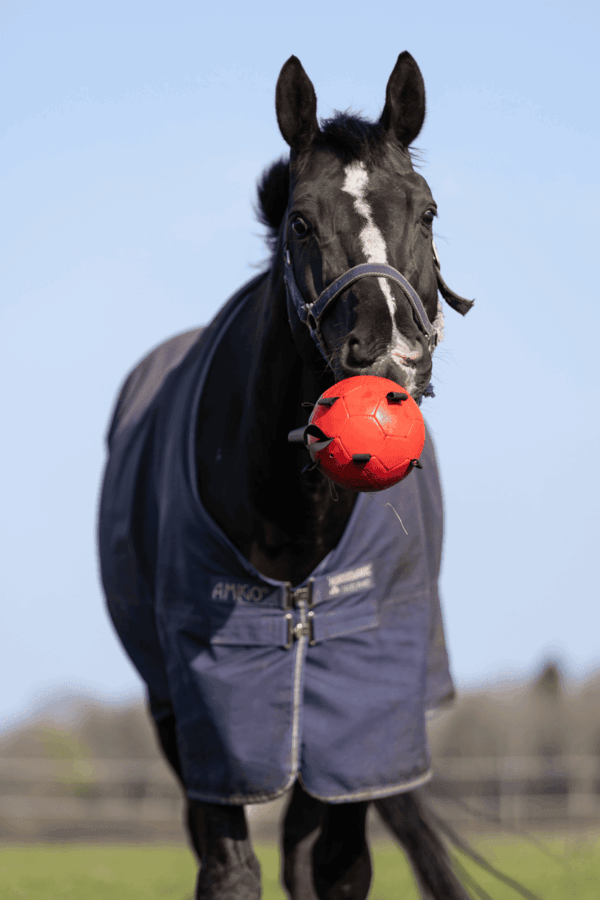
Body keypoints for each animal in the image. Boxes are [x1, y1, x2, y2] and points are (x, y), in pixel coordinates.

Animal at [99, 52, 476, 900]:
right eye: (302, 221)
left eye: (428, 212)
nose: (388, 352)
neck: (297, 526)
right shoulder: (215, 719)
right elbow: (230, 869)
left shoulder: (361, 722)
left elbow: (335, 866)